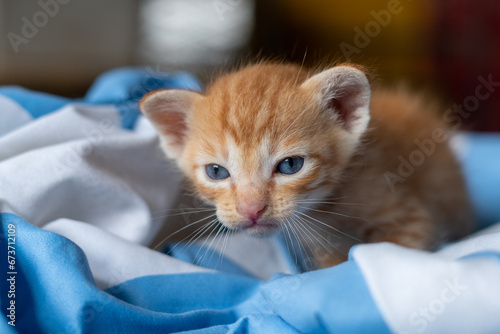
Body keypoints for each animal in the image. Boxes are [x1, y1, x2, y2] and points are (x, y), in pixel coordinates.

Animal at [140, 62, 472, 266]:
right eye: (216, 172)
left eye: (290, 166)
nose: (251, 210)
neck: (327, 208)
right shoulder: (323, 245)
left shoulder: (410, 218)